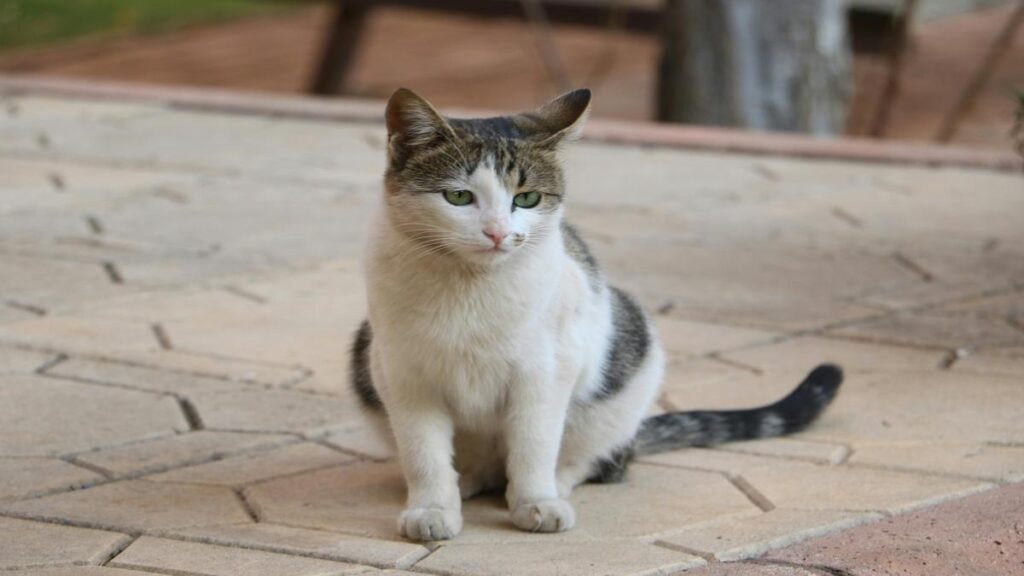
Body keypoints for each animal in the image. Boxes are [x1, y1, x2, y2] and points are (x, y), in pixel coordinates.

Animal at [352, 87, 839, 541]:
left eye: (527, 198)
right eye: (458, 196)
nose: (497, 233)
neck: (470, 288)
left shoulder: (546, 371)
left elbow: (535, 443)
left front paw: (536, 501)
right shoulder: (401, 374)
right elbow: (424, 453)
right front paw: (432, 508)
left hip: (632, 357)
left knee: (602, 459)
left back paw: (554, 482)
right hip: (363, 355)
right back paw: (467, 478)